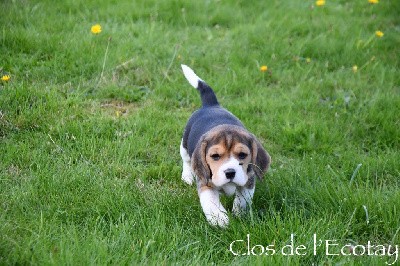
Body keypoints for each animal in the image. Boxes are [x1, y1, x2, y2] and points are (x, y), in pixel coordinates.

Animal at [180, 65, 268, 227]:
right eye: (215, 156)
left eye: (242, 155)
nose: (230, 172)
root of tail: (211, 105)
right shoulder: (205, 182)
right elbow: (211, 201)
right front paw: (219, 218)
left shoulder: (248, 180)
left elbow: (243, 199)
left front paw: (239, 214)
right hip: (183, 146)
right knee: (187, 161)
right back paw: (187, 176)